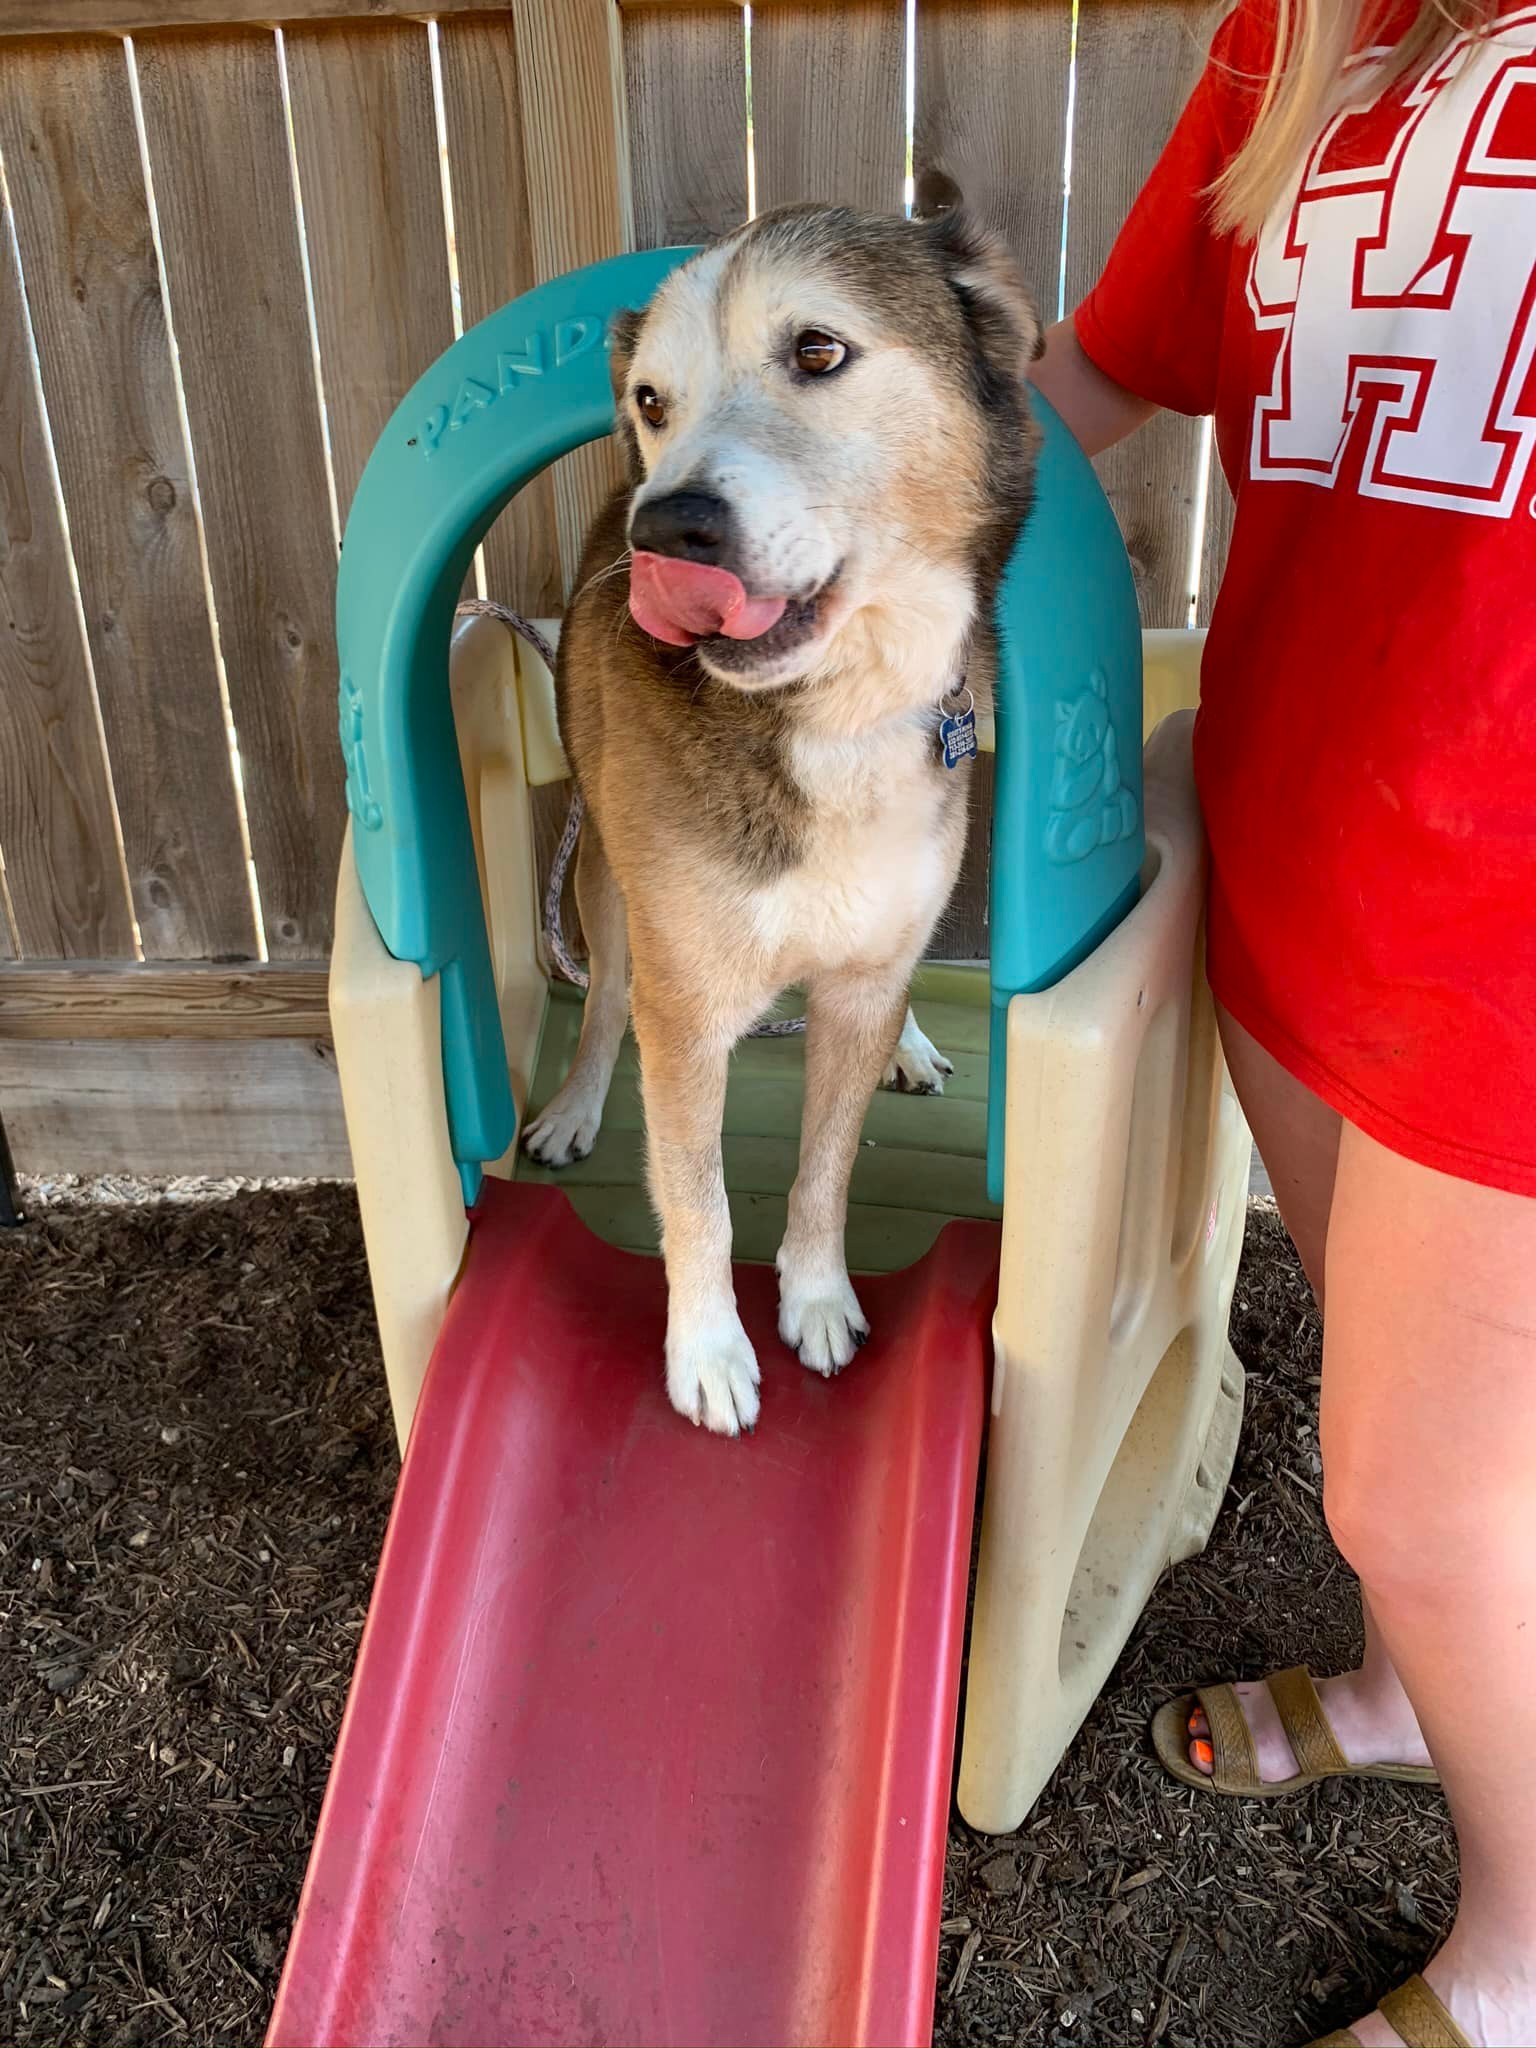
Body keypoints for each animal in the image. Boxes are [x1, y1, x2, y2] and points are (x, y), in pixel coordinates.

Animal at [524, 199, 1040, 1433]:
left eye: (817, 350)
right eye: (651, 401)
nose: (667, 529)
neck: (830, 716)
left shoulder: (862, 974)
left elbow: (829, 1161)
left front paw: (815, 1298)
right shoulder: (687, 1006)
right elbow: (697, 1195)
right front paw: (709, 1351)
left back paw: (913, 1043)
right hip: (601, 876)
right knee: (603, 998)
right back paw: (575, 1104)